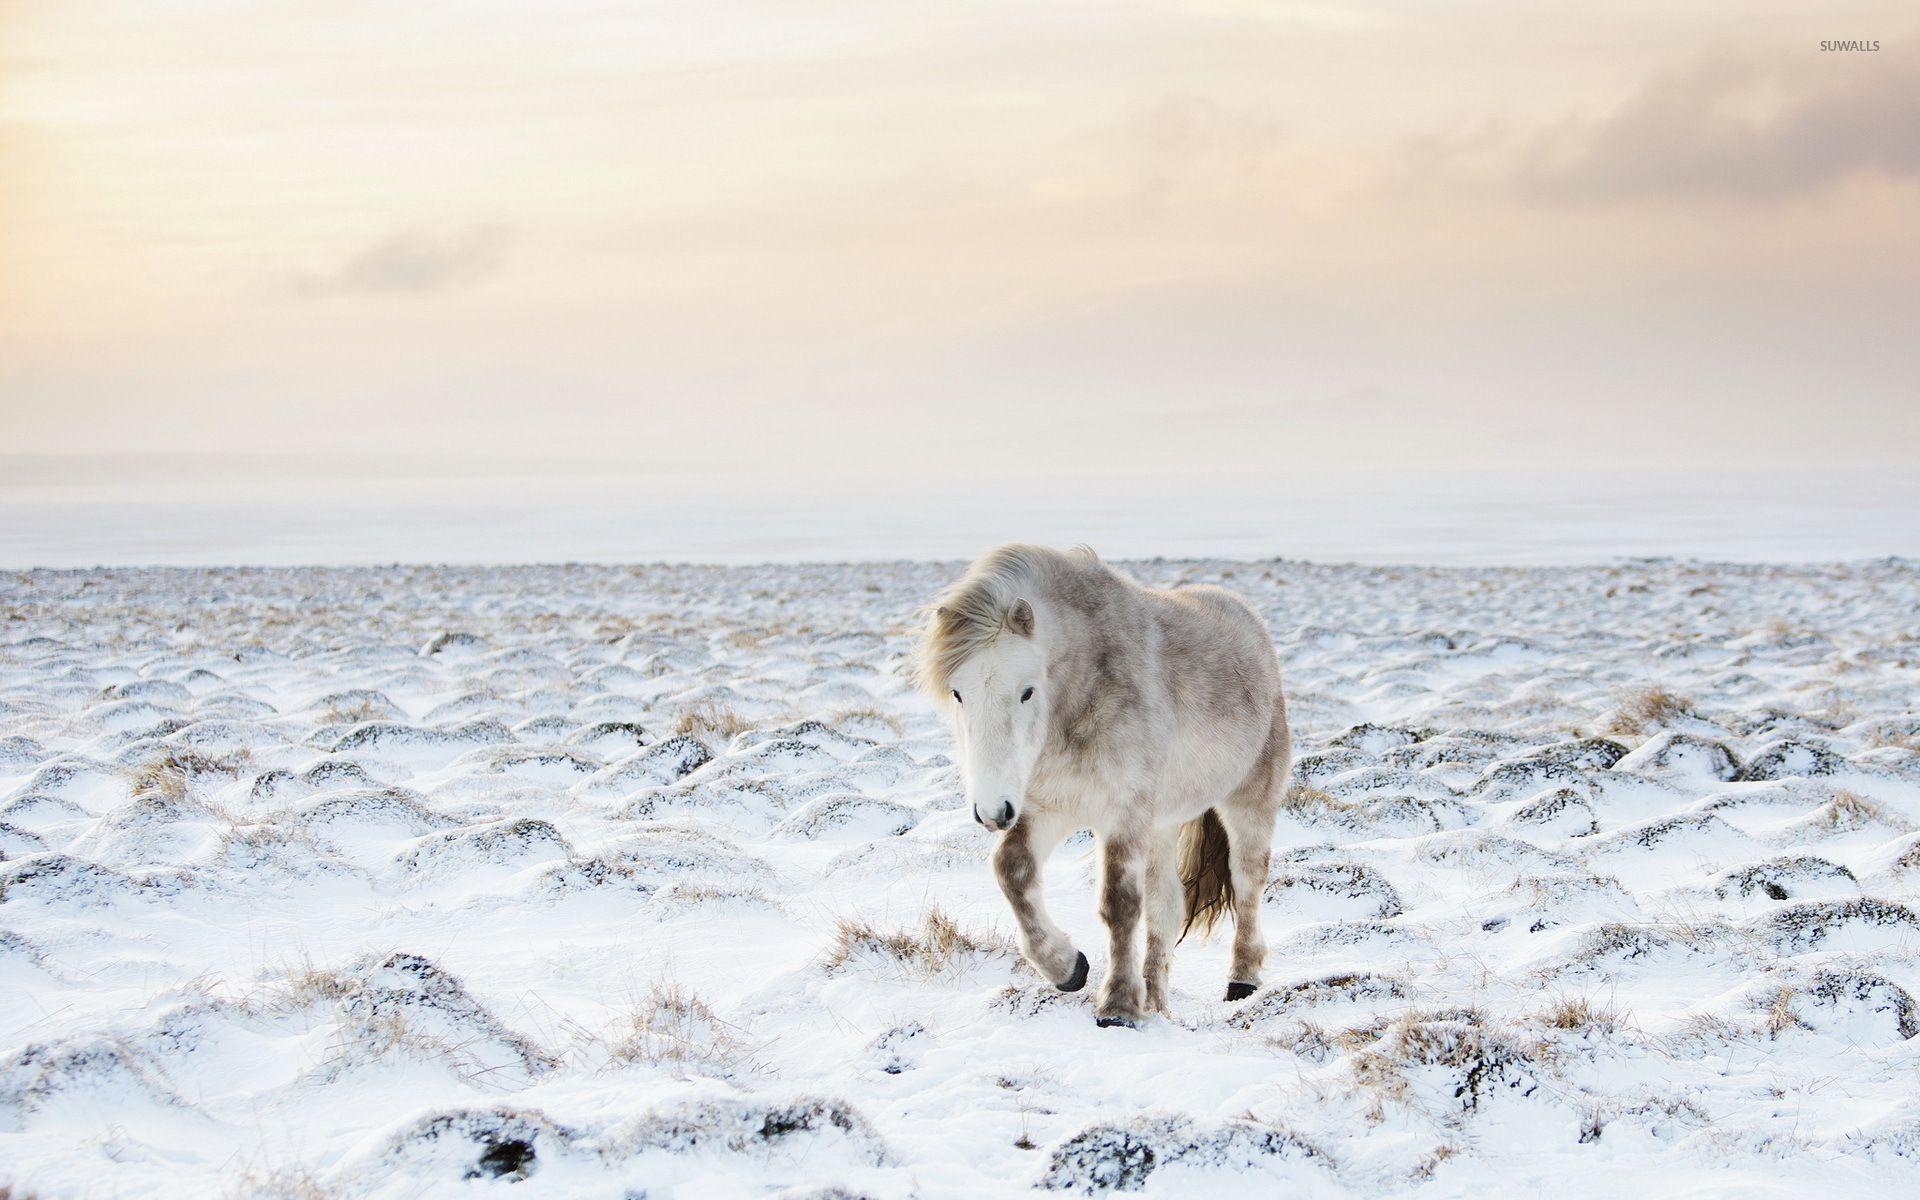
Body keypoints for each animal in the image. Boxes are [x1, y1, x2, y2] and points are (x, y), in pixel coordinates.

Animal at [916, 544, 1291, 1027]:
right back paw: (1156, 1000)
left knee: (1247, 882)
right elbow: (1011, 871)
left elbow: (1120, 904)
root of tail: (1249, 620)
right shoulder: (1050, 808)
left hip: (1249, 798)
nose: (992, 811)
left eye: (1027, 691)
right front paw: (1067, 967)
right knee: (1166, 906)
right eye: (958, 692)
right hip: (1161, 824)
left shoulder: (1122, 814)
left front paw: (1118, 1007)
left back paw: (1242, 982)